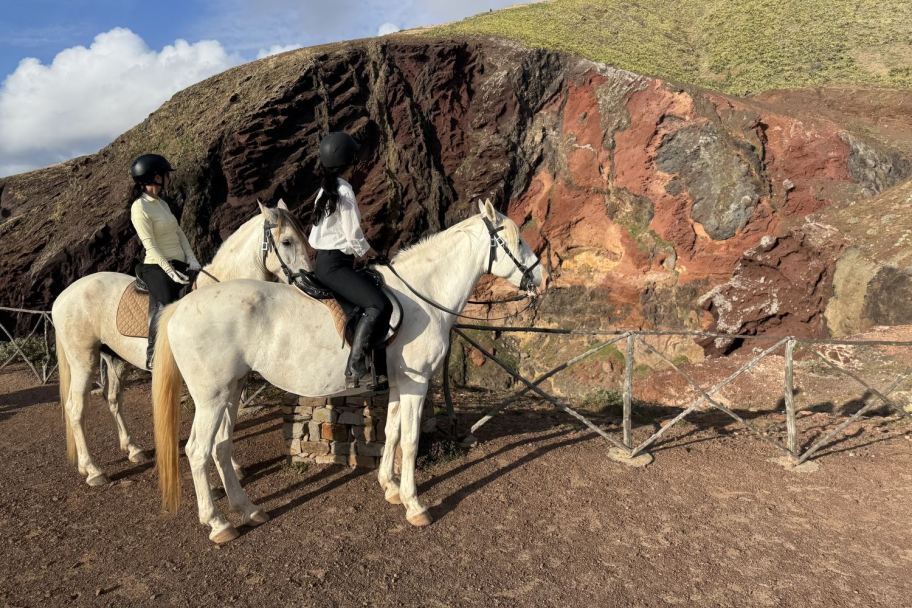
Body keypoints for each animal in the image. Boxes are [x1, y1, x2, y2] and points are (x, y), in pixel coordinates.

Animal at [52, 200, 311, 486]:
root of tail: (63, 295)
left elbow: (223, 427)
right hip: (83, 361)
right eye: (287, 241)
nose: (309, 280)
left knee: (113, 400)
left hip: (115, 360)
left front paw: (230, 467)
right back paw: (92, 470)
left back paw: (132, 450)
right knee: (75, 408)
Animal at [151, 199, 543, 543]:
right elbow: (410, 440)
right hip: (212, 397)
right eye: (518, 240)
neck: (423, 295)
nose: (541, 277)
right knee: (197, 450)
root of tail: (182, 306)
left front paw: (390, 487)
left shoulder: (399, 384)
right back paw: (218, 524)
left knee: (220, 446)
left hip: (231, 390)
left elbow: (393, 432)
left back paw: (248, 509)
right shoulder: (416, 384)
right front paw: (415, 504)